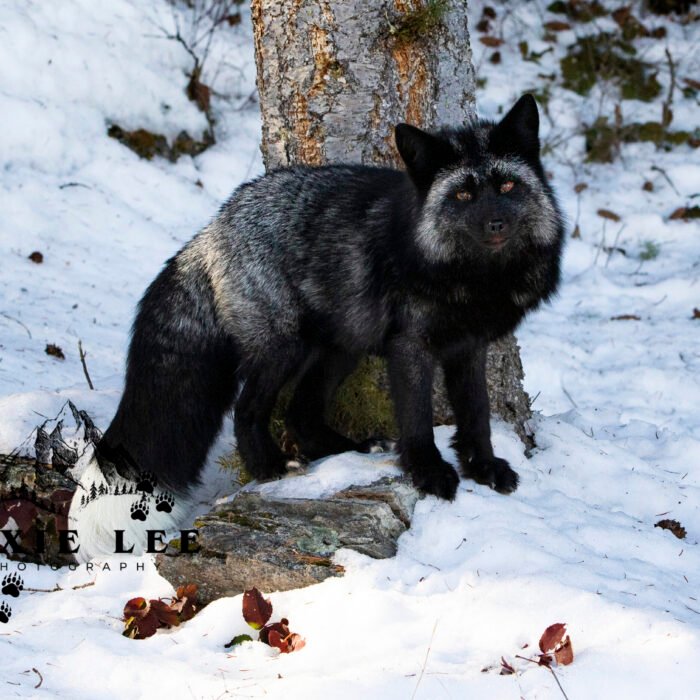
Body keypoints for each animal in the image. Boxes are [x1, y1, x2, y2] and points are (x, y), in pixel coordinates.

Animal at [69, 94, 564, 559]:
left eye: (507, 185)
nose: (496, 222)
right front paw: (428, 472)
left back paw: (349, 450)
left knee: (301, 414)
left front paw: (484, 466)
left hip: (340, 347)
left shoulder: (469, 345)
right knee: (249, 410)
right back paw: (268, 466)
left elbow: (477, 413)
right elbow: (419, 419)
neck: (474, 281)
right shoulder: (410, 346)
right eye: (462, 196)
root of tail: (211, 229)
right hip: (284, 347)